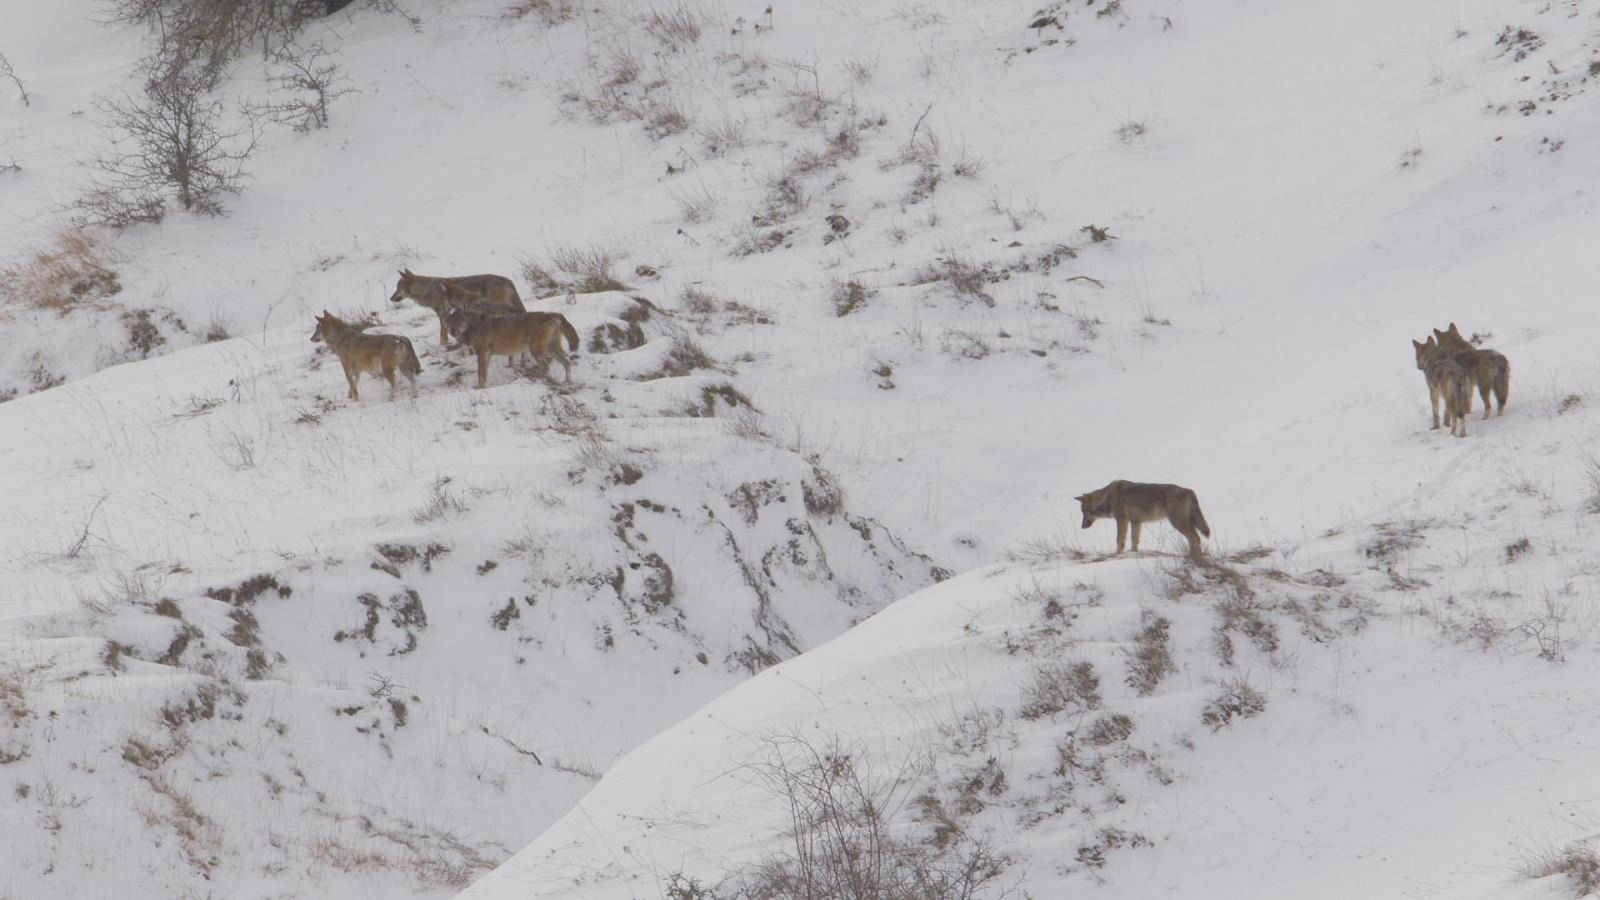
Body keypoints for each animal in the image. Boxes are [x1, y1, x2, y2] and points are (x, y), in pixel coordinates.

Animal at [390, 267, 528, 344]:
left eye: (398, 288)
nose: (391, 298)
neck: (428, 290)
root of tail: (508, 280)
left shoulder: (442, 314)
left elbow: (443, 334)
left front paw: (443, 345)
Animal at [1075, 477, 1209, 554]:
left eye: (1084, 512)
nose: (1081, 527)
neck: (1107, 496)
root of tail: (1189, 490)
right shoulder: (1136, 522)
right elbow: (1134, 540)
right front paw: (1133, 554)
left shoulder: (1122, 520)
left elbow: (1119, 540)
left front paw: (1117, 554)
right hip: (1185, 523)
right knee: (1196, 538)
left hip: (1178, 523)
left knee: (1194, 538)